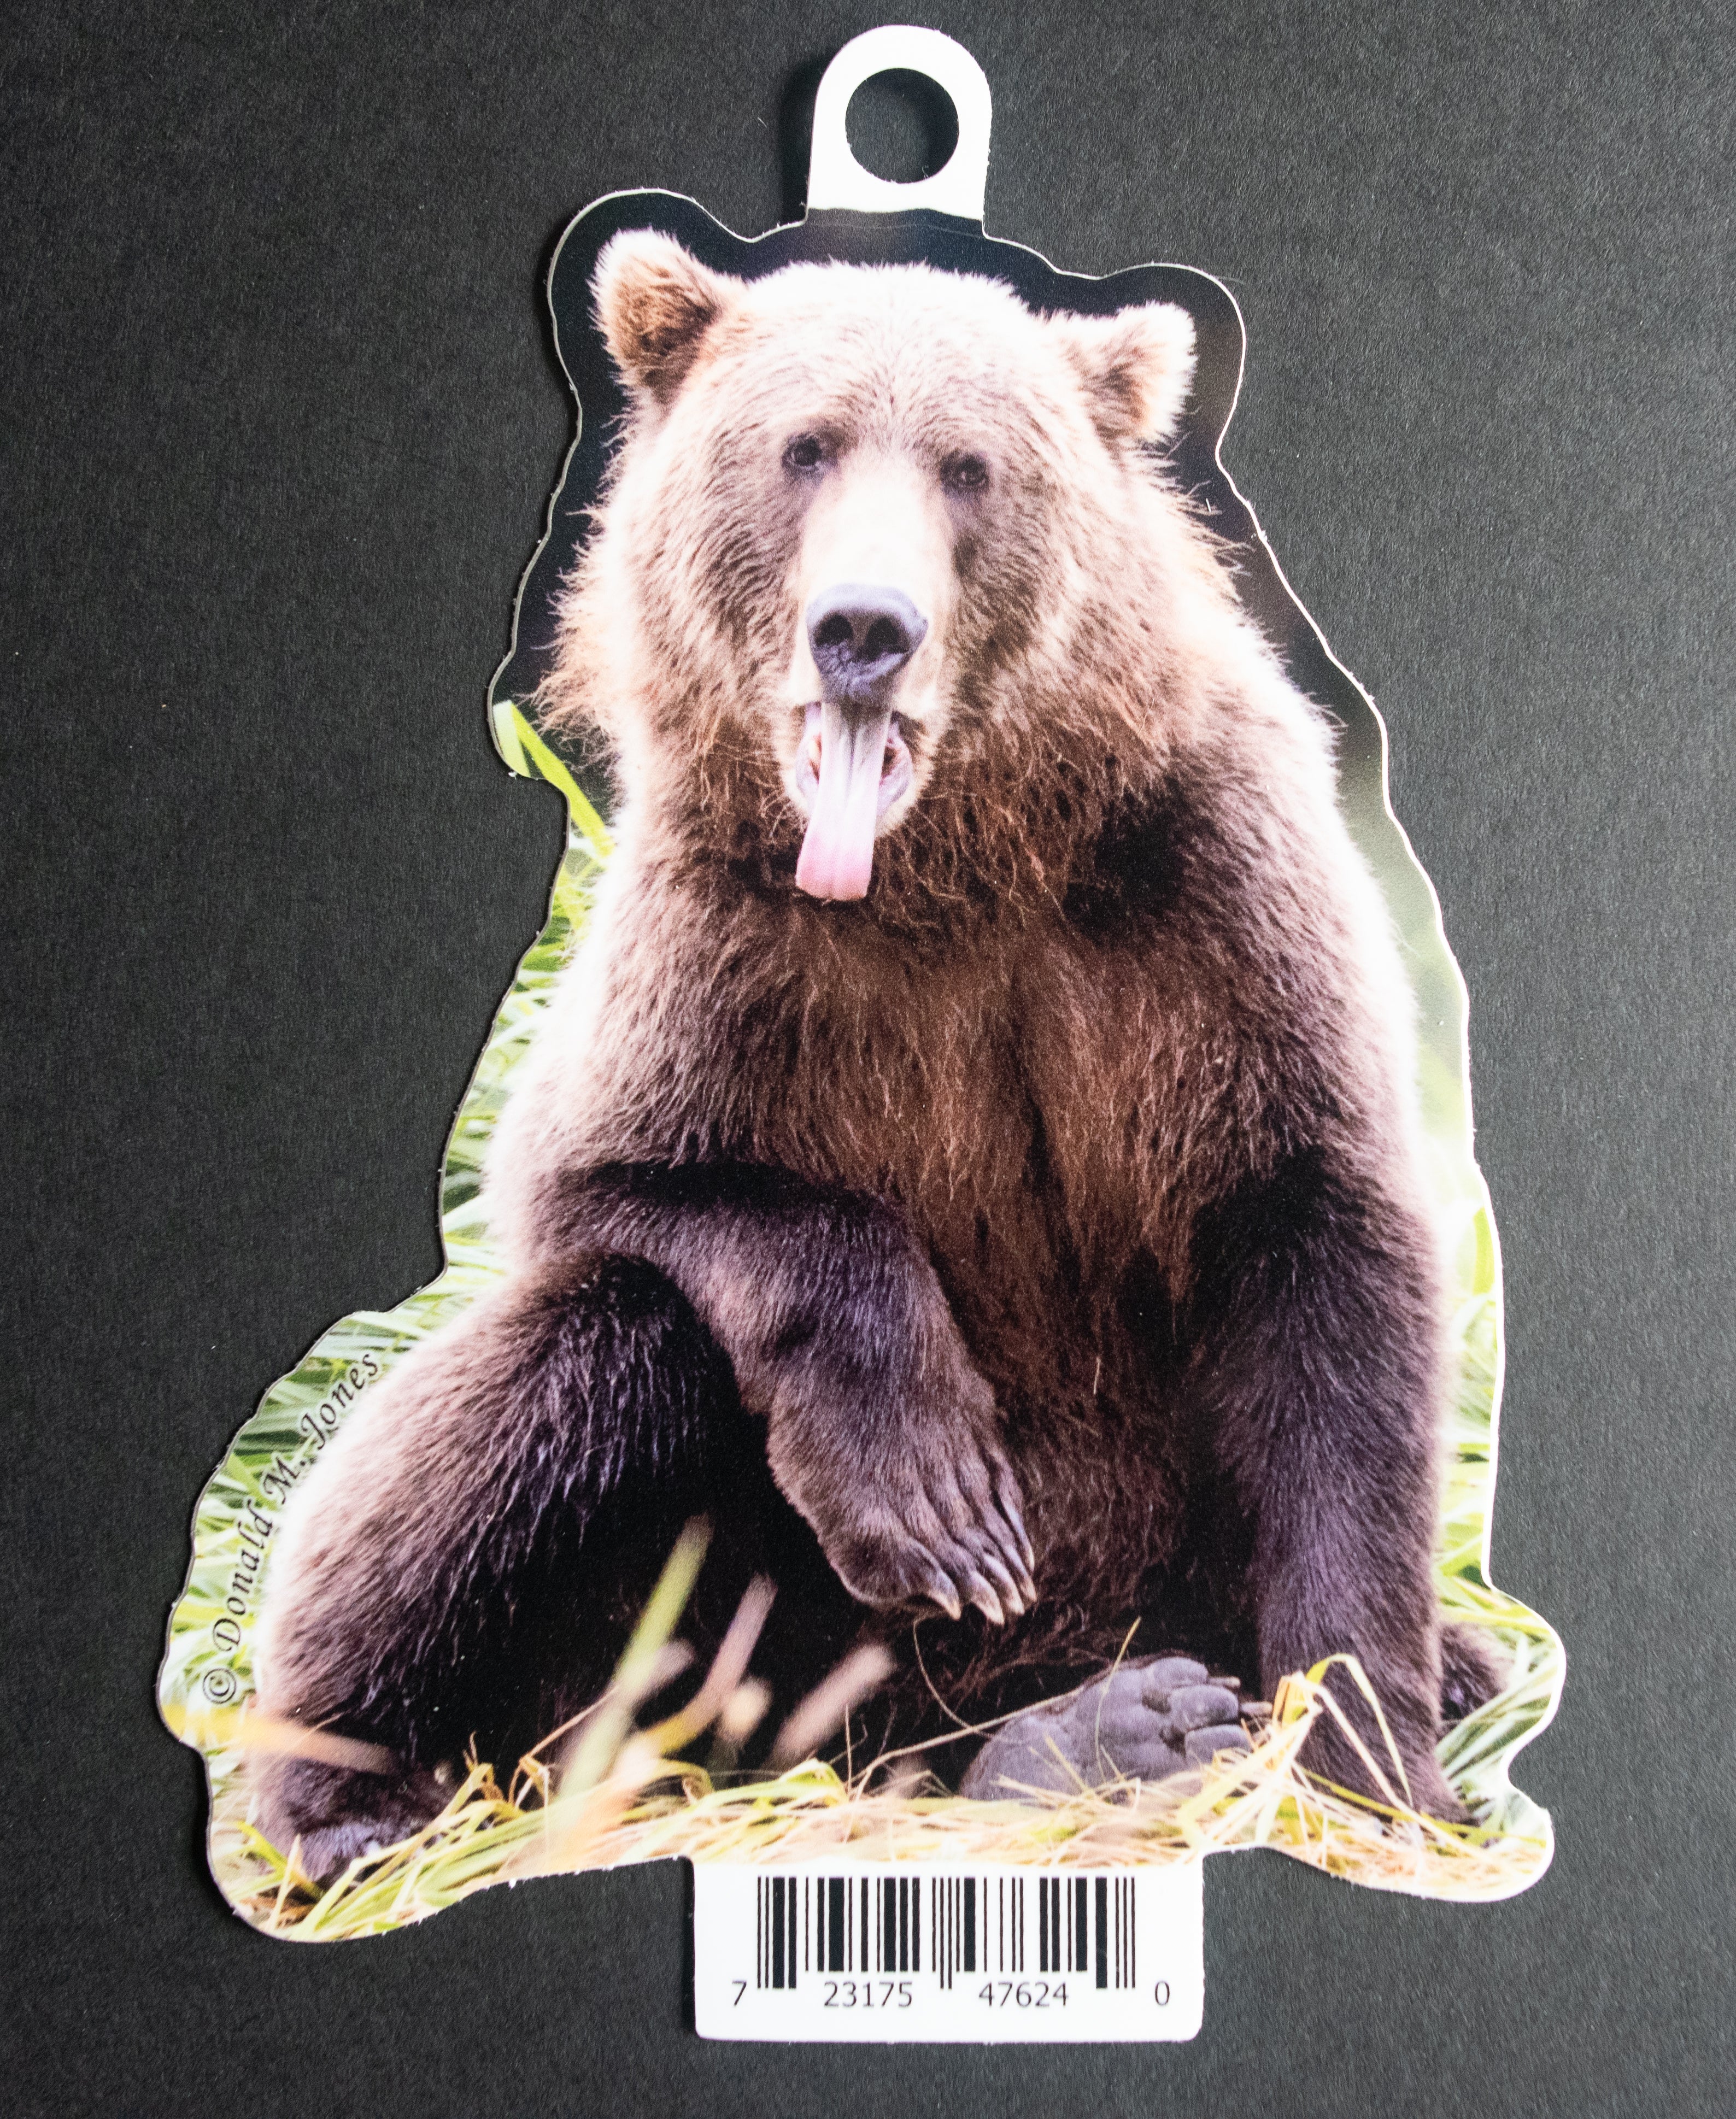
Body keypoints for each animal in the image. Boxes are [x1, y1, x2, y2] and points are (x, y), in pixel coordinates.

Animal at [250, 229, 1500, 1881]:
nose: (863, 627)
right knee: (552, 1380)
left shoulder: (1210, 914)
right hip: (716, 1655)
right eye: (804, 445)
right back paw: (358, 1795)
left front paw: (1365, 1760)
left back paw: (1123, 1727)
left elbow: (1323, 1273)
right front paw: (938, 1493)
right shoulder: (717, 954)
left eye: (969, 467)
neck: (945, 874)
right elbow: (613, 1179)